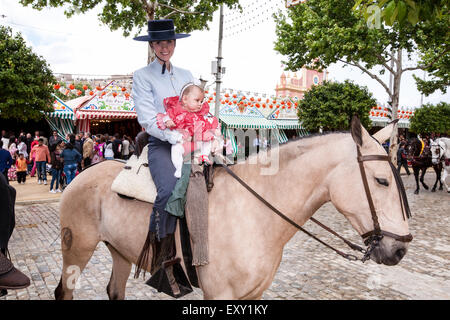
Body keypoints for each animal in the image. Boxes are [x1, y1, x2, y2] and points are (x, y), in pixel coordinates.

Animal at [53, 118, 412, 300]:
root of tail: (84, 172)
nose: (399, 250)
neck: (255, 213)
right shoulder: (219, 293)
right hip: (78, 248)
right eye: (382, 180)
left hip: (118, 250)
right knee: (64, 291)